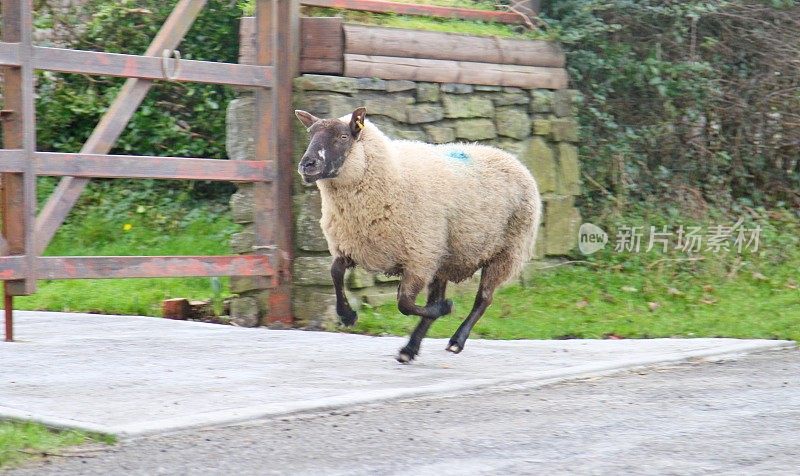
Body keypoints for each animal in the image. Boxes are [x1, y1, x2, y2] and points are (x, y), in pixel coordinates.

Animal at [296, 107, 544, 360]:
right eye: (310, 134)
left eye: (343, 136)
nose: (307, 164)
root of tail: (511, 159)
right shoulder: (352, 246)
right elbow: (335, 273)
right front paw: (347, 315)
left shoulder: (419, 257)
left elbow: (404, 304)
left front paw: (444, 309)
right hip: (444, 257)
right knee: (443, 297)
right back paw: (411, 347)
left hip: (505, 251)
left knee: (483, 299)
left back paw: (456, 339)